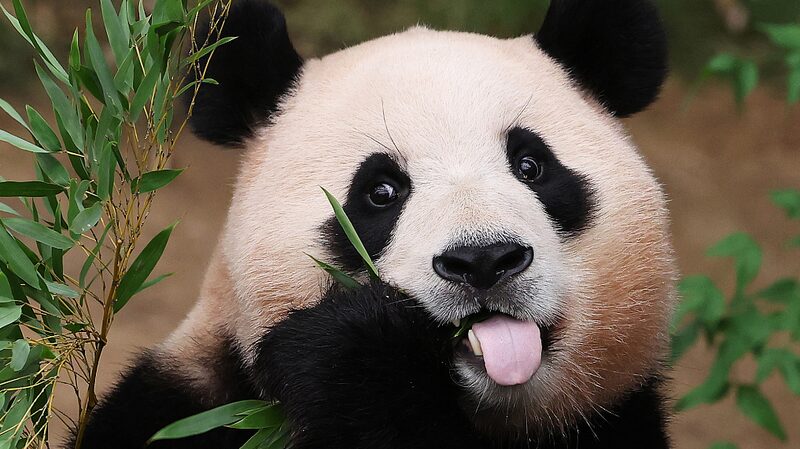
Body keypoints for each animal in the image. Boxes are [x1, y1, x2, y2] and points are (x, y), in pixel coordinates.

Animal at [74, 0, 676, 448]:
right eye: (381, 192)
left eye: (531, 166)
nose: (484, 260)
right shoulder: (193, 405)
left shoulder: (614, 420)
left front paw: (362, 354)